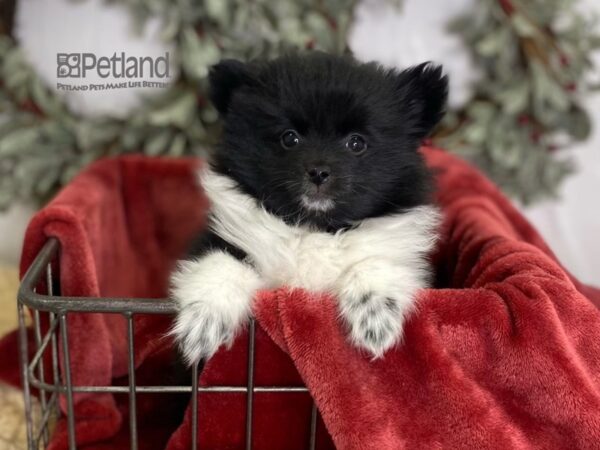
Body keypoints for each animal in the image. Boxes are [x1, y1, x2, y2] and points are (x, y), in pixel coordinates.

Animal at [171, 51, 448, 364]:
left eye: (356, 143)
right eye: (289, 138)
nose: (318, 172)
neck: (315, 227)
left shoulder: (402, 255)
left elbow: (375, 262)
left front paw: (375, 317)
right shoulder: (222, 238)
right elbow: (220, 263)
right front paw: (203, 323)